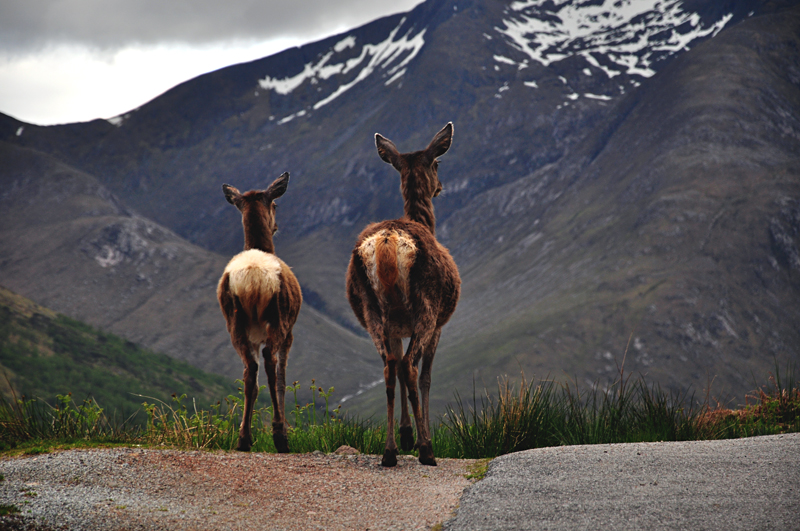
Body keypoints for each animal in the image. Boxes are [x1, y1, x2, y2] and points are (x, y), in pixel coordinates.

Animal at [217, 174, 302, 454]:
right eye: (275, 204)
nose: (277, 225)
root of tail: (253, 279)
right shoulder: (291, 332)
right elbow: (282, 379)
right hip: (278, 317)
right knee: (270, 364)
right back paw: (279, 436)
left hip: (233, 321)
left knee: (249, 372)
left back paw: (243, 438)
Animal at [346, 122, 462, 468]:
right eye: (437, 163)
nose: (441, 186)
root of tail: (387, 241)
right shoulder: (439, 326)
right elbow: (425, 378)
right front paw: (421, 437)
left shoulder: (398, 328)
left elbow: (396, 369)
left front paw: (406, 434)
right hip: (427, 305)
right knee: (410, 366)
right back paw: (426, 451)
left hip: (372, 310)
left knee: (389, 367)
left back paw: (389, 451)